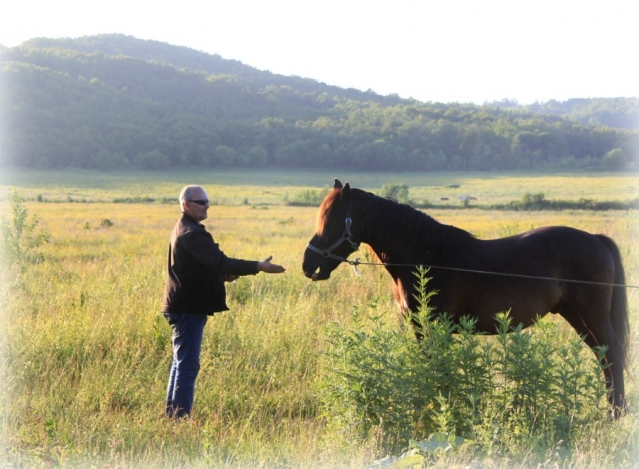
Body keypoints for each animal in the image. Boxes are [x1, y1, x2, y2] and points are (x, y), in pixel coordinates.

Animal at [304, 178, 632, 414]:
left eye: (333, 220)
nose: (309, 265)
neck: (427, 258)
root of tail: (596, 239)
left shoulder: (434, 327)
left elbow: (438, 368)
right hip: (577, 316)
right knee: (603, 356)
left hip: (592, 315)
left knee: (613, 354)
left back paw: (615, 415)